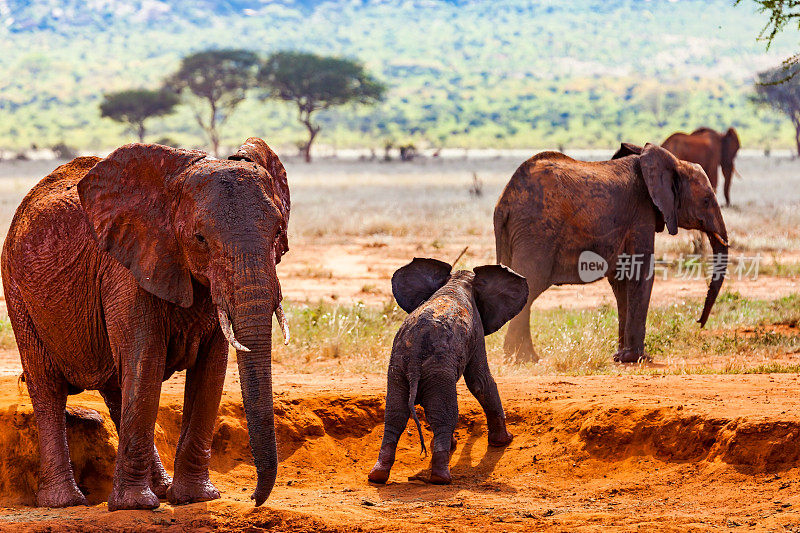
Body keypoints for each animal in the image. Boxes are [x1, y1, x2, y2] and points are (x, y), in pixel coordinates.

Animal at [3, 139, 290, 510]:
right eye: (200, 238)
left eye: (279, 232)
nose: (254, 498)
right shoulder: (126, 271)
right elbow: (146, 360)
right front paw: (135, 506)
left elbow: (210, 372)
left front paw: (194, 498)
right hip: (18, 293)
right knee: (47, 386)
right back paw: (65, 501)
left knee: (116, 387)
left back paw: (162, 488)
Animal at [366, 256, 528, 484]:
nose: (477, 430)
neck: (457, 281)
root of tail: (415, 359)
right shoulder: (476, 331)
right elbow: (480, 381)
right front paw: (504, 441)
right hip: (437, 373)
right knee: (444, 415)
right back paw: (441, 478)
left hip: (398, 370)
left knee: (395, 416)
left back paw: (377, 476)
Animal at [490, 143, 728, 364]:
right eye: (706, 200)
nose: (699, 323)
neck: (672, 161)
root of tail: (504, 201)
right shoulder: (641, 212)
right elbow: (640, 272)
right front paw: (637, 358)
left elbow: (622, 279)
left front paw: (620, 356)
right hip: (537, 231)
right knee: (530, 284)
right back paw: (523, 358)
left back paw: (522, 357)